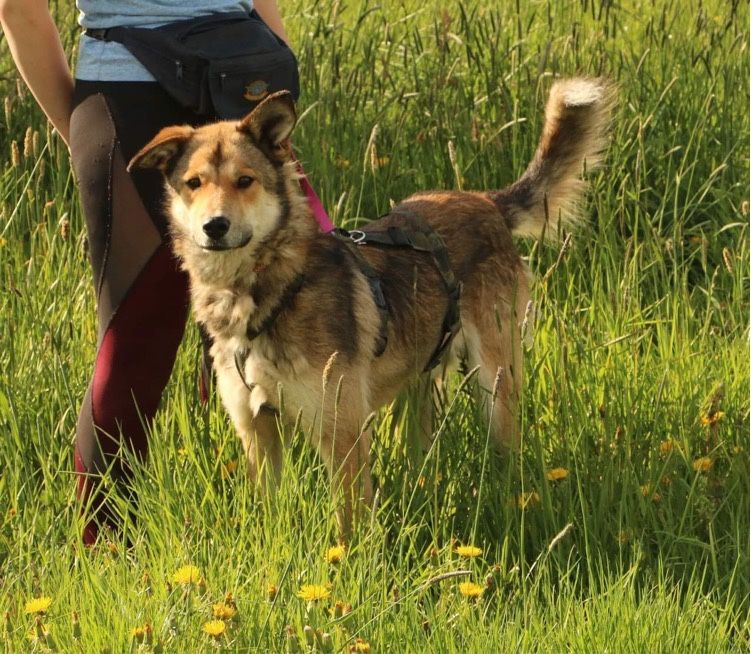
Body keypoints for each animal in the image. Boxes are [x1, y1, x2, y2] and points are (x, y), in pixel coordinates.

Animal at [128, 79, 612, 536]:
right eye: (194, 184)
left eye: (245, 181)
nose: (214, 226)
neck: (267, 293)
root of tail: (485, 202)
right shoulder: (257, 431)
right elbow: (270, 513)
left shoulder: (341, 434)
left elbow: (347, 523)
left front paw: (347, 562)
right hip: (418, 387)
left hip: (496, 383)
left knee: (505, 448)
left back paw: (508, 499)